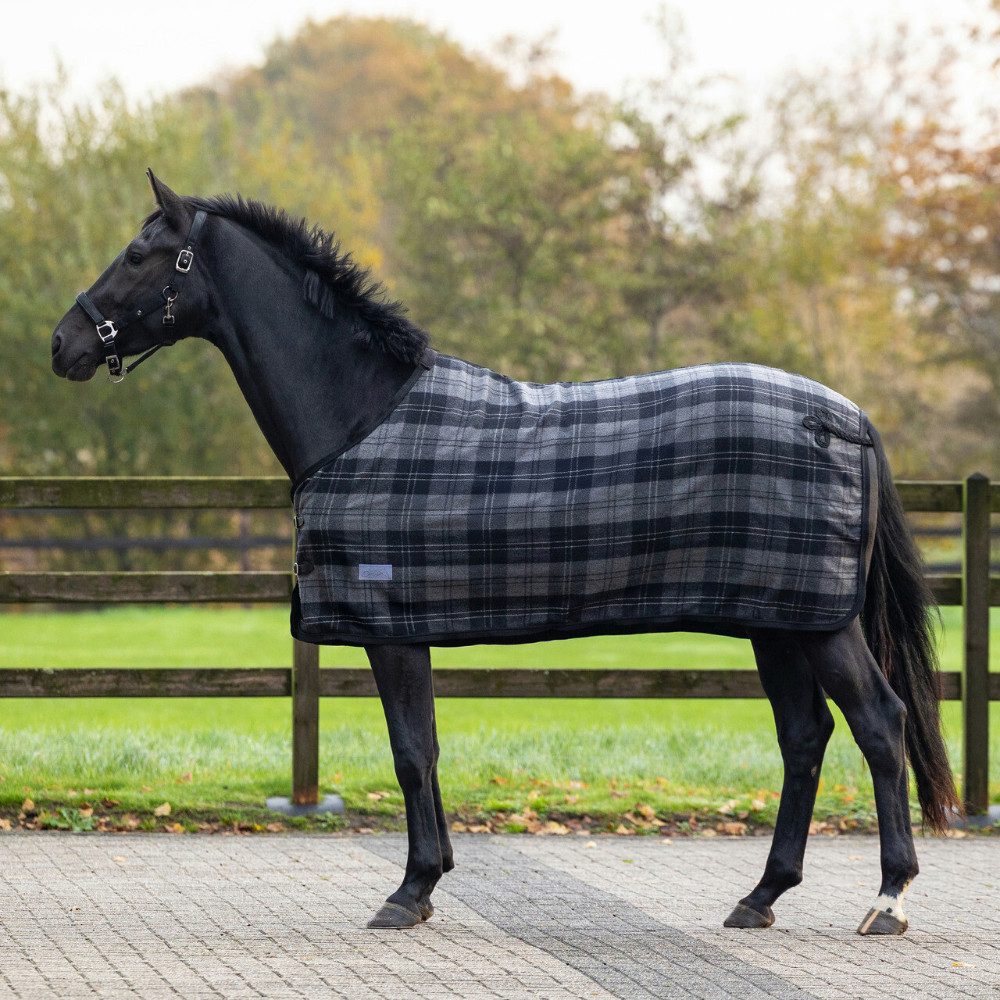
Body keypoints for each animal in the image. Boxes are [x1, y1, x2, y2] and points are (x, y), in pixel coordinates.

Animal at [50, 170, 959, 935]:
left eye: (139, 254)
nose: (63, 344)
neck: (360, 415)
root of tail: (843, 416)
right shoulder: (405, 628)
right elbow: (424, 750)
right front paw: (428, 881)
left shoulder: (390, 631)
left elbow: (411, 754)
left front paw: (410, 889)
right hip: (778, 621)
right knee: (805, 739)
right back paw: (761, 896)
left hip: (820, 625)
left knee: (879, 725)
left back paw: (887, 899)